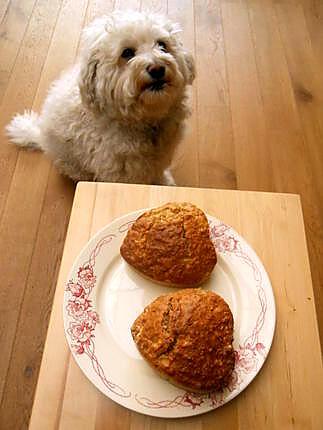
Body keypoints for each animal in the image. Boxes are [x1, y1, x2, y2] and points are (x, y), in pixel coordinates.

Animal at [6, 11, 195, 185]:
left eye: (162, 44)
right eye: (127, 53)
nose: (157, 68)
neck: (145, 120)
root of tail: (41, 135)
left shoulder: (159, 158)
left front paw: (165, 183)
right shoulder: (119, 172)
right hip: (72, 163)